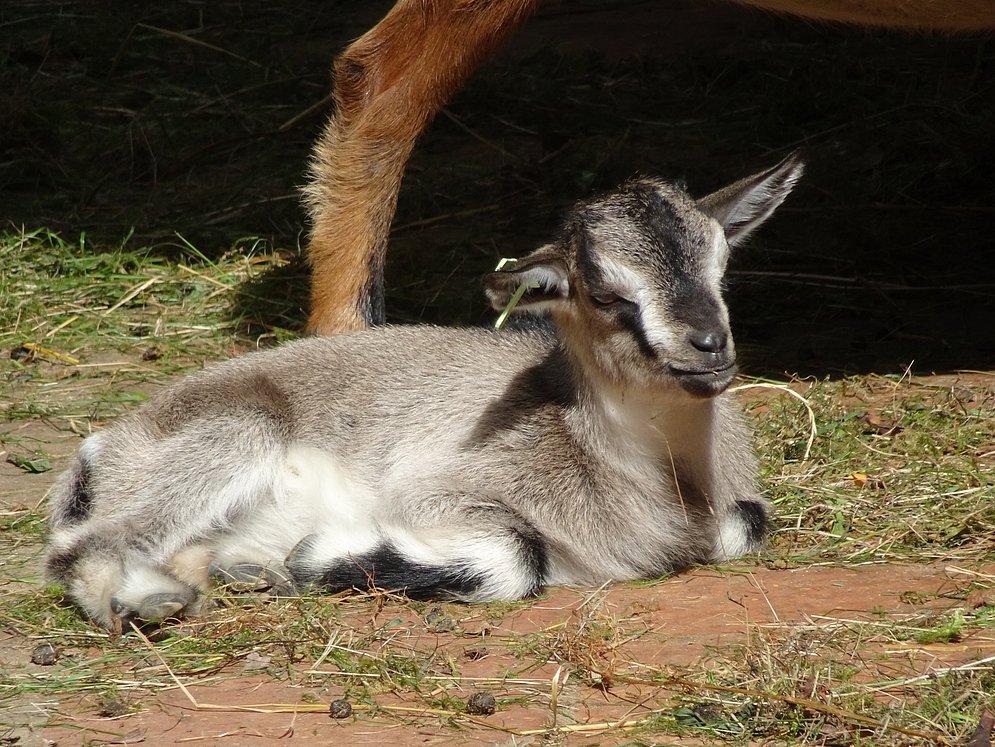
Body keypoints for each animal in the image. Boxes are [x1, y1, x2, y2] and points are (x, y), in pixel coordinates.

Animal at [45, 153, 803, 632]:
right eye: (605, 293)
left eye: (721, 267)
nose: (709, 347)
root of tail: (102, 448)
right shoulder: (438, 490)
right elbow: (517, 556)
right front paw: (318, 556)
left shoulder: (735, 512)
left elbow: (747, 523)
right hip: (231, 432)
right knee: (79, 549)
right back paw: (151, 602)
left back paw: (229, 576)